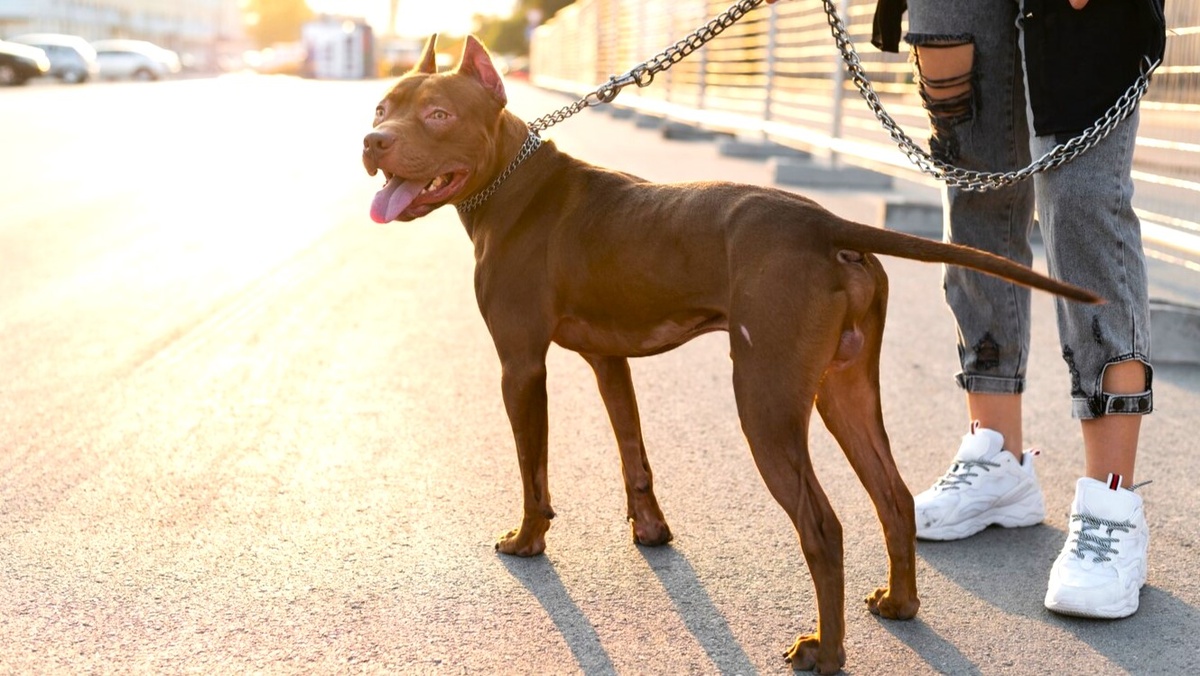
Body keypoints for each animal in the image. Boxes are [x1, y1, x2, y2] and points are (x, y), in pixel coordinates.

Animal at [362, 35, 1099, 672]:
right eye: (382, 108)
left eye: (436, 114)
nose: (372, 141)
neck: (512, 186)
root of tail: (823, 224)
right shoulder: (609, 361)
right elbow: (634, 454)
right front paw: (650, 532)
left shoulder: (520, 365)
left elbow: (532, 468)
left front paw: (527, 541)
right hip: (844, 390)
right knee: (892, 498)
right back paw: (899, 604)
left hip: (765, 403)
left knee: (823, 527)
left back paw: (826, 652)